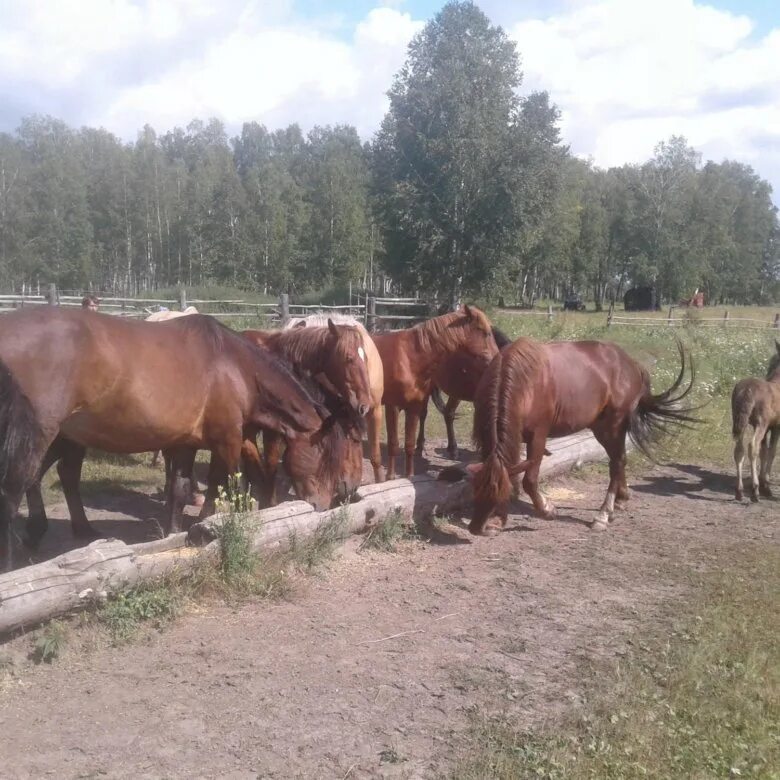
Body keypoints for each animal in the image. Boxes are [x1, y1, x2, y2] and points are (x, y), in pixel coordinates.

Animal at [0, 308, 322, 568]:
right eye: (323, 455)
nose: (322, 505)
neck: (233, 366)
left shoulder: (186, 443)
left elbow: (180, 489)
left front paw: (174, 534)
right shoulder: (227, 440)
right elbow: (228, 485)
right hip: (38, 437)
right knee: (14, 493)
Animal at [374, 306, 496, 478]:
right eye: (486, 332)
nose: (496, 357)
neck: (408, 358)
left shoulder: (414, 407)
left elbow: (409, 444)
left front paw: (409, 476)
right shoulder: (393, 407)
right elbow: (393, 444)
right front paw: (390, 477)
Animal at [466, 336, 696, 536]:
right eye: (475, 490)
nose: (476, 528)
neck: (525, 384)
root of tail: (631, 363)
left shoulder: (538, 436)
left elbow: (529, 480)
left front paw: (547, 510)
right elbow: (511, 474)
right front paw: (499, 520)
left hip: (614, 425)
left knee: (617, 463)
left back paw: (603, 515)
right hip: (600, 428)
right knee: (619, 461)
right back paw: (621, 500)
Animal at [732, 340, 780, 500]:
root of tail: (747, 389)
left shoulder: (767, 428)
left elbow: (764, 451)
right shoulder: (776, 426)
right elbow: (772, 451)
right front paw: (766, 484)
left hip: (740, 421)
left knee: (739, 450)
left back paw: (739, 491)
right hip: (760, 423)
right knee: (752, 446)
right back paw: (755, 490)